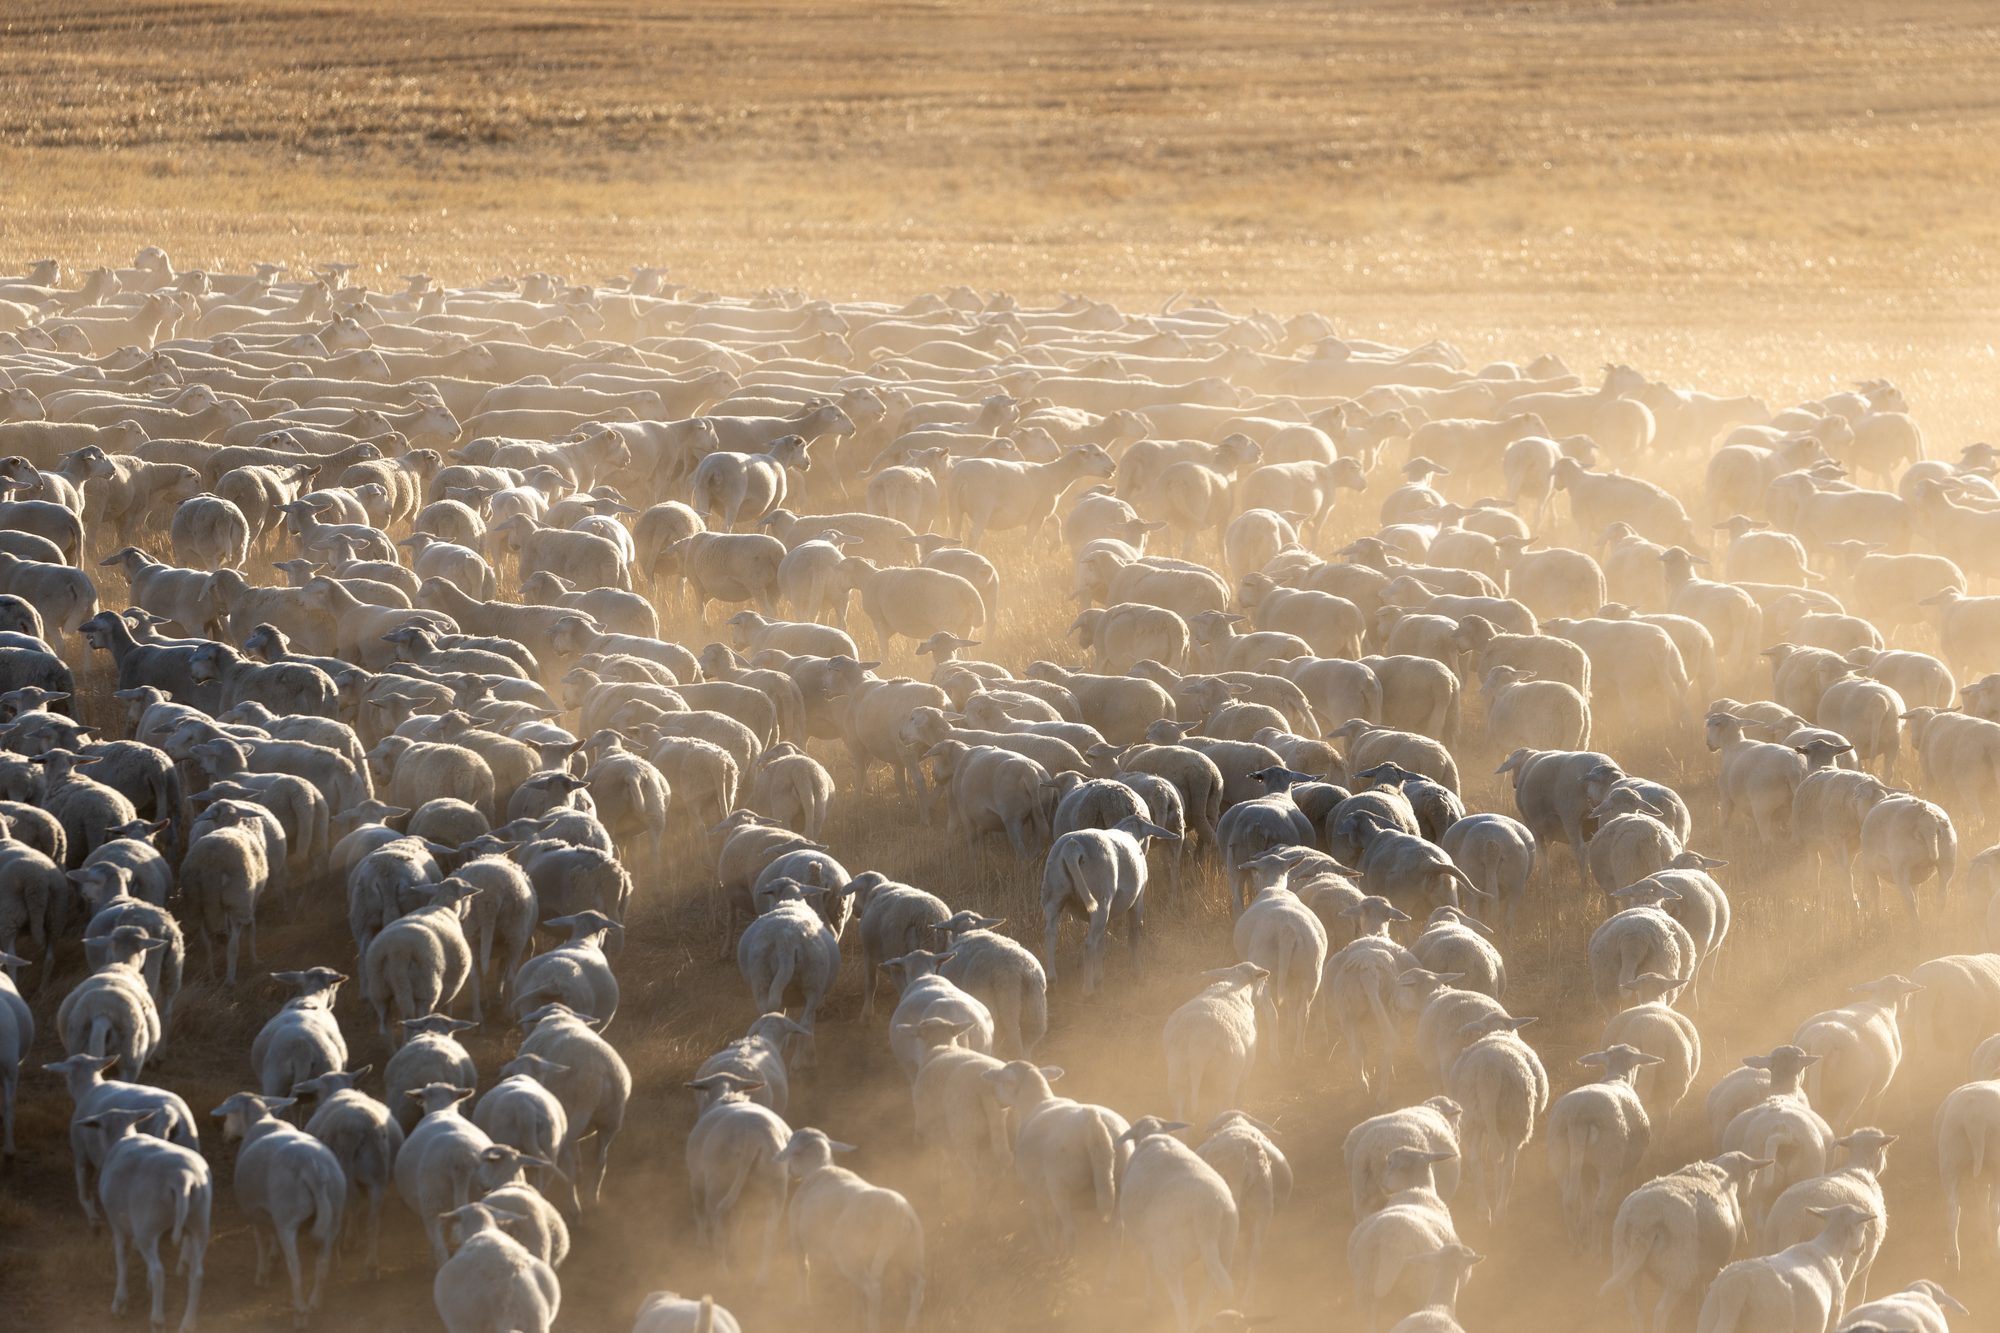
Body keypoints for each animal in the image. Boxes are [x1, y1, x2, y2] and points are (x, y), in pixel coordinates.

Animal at [212, 1090, 347, 1325]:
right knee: (322, 1265)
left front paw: (262, 1275)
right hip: (333, 1216)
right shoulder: (269, 1212)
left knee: (296, 1267)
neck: (259, 1120)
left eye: (229, 1114)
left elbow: (261, 1243)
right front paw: (273, 1261)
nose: (225, 1134)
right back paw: (315, 1303)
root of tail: (313, 1166)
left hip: (288, 1219)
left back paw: (300, 1312)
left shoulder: (254, 1212)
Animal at [778, 1127, 926, 1333]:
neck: (817, 1170)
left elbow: (803, 1270)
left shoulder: (796, 1237)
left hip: (851, 1255)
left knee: (872, 1290)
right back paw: (911, 1325)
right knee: (917, 1285)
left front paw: (803, 1306)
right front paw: (856, 1317)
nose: (791, 1172)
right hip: (910, 1252)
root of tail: (896, 1215)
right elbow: (855, 1292)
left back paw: (872, 1326)